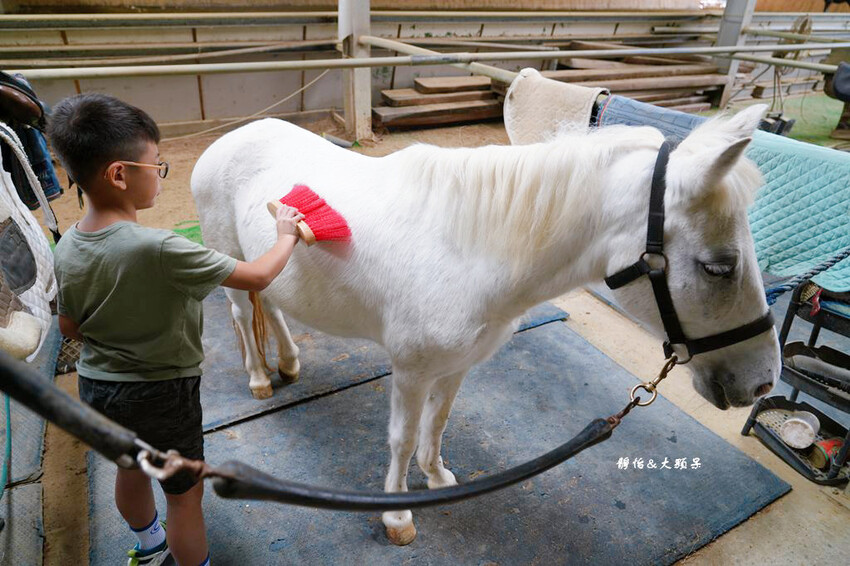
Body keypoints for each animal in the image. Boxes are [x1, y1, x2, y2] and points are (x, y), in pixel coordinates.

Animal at [190, 103, 781, 545]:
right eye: (719, 267)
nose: (761, 382)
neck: (469, 250)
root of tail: (229, 137)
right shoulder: (410, 370)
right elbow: (402, 437)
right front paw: (397, 515)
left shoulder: (456, 365)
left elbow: (438, 423)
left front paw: (436, 477)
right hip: (229, 258)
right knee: (242, 313)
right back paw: (260, 379)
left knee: (274, 307)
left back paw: (289, 363)